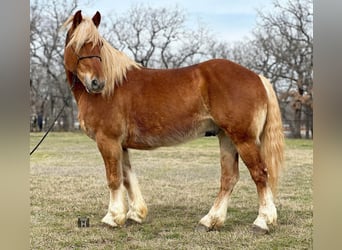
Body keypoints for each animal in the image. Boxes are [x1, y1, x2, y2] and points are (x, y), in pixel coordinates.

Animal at [62, 10, 284, 233]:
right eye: (77, 45)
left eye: (98, 45)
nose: (97, 83)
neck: (113, 86)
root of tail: (257, 77)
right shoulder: (120, 144)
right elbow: (127, 177)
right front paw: (135, 214)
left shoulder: (108, 140)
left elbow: (114, 178)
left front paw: (113, 217)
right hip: (227, 138)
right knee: (229, 178)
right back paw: (210, 221)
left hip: (243, 139)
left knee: (259, 173)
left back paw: (262, 221)